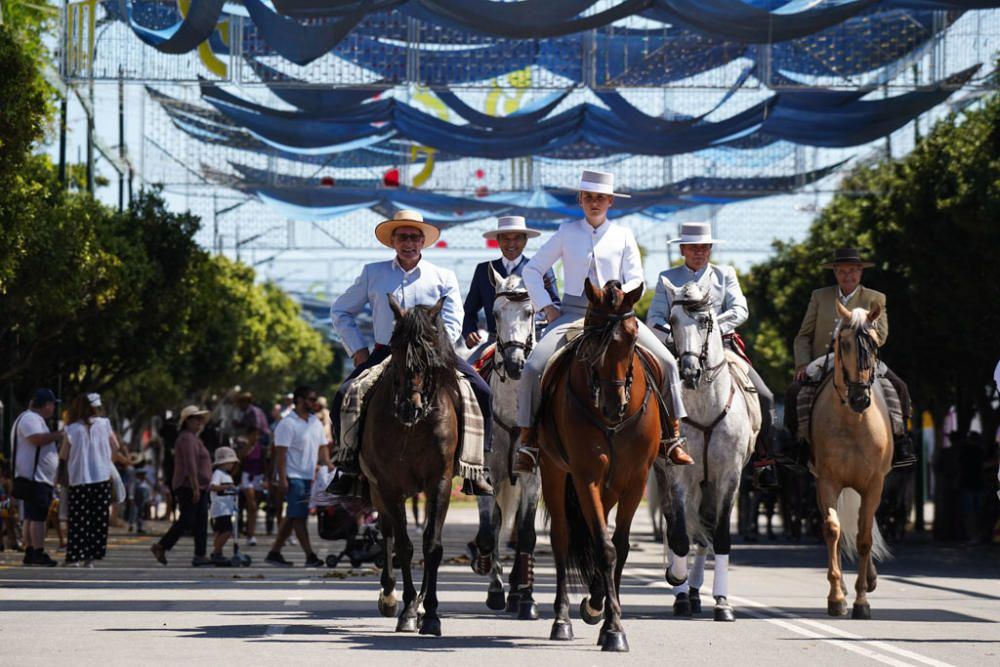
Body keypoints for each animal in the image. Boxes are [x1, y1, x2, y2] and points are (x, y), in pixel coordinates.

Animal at [362, 296, 462, 636]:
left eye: (430, 347)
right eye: (394, 345)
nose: (409, 407)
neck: (414, 427)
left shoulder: (440, 482)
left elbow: (432, 545)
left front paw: (430, 612)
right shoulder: (389, 485)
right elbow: (404, 546)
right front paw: (407, 609)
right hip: (378, 490)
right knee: (388, 532)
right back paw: (390, 596)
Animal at [536, 278, 660, 652]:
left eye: (632, 337)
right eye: (592, 338)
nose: (612, 404)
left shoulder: (635, 480)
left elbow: (618, 546)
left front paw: (605, 613)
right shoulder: (586, 475)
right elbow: (604, 548)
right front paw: (613, 627)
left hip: (612, 484)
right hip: (554, 471)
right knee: (562, 539)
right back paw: (562, 620)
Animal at [652, 280, 752, 624]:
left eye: (706, 320)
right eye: (673, 320)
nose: (690, 372)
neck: (706, 409)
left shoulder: (729, 477)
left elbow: (718, 537)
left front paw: (722, 604)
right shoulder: (681, 477)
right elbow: (680, 535)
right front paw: (678, 584)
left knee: (703, 532)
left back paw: (697, 593)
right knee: (678, 528)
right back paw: (684, 592)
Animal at [812, 302, 892, 620]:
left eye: (874, 345)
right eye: (842, 343)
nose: (860, 398)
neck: (853, 421)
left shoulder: (874, 485)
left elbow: (864, 538)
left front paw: (861, 601)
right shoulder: (827, 482)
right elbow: (833, 529)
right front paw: (837, 596)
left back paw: (868, 580)